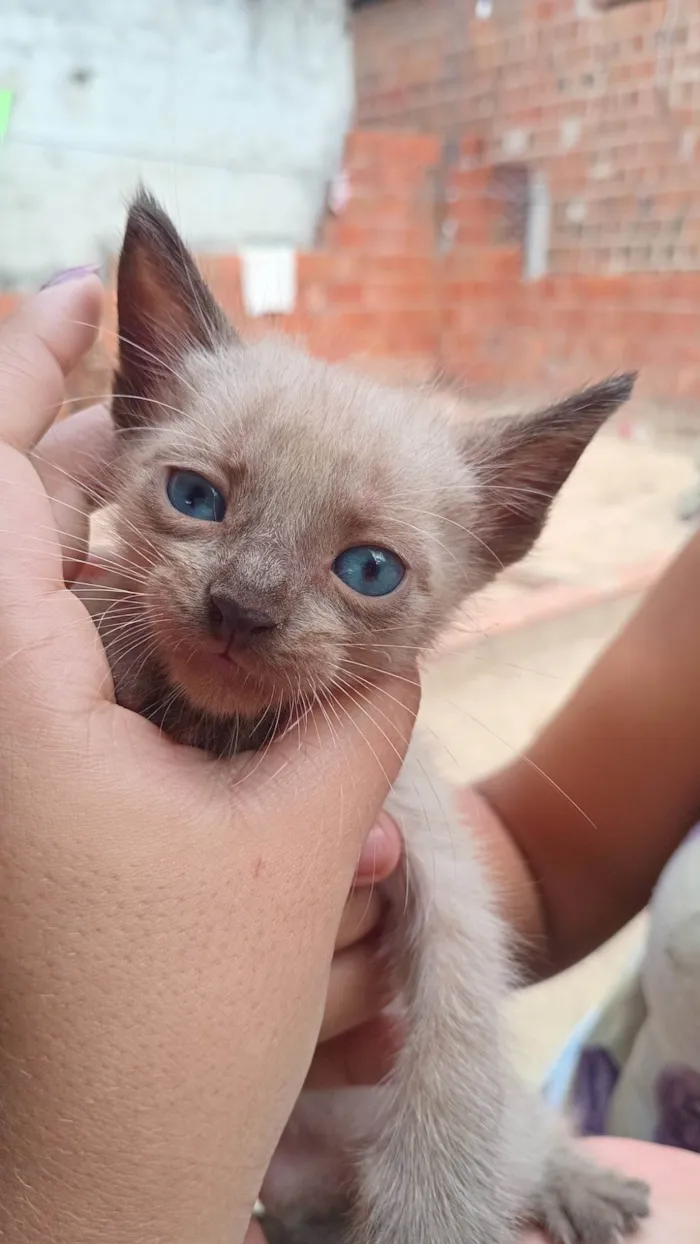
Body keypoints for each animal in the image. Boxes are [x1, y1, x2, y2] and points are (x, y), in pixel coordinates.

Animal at [83, 194, 651, 1244]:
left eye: (370, 570)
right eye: (195, 498)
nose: (241, 608)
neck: (231, 732)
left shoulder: (446, 873)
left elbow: (458, 1073)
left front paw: (438, 1214)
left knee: (516, 1125)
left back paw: (580, 1185)